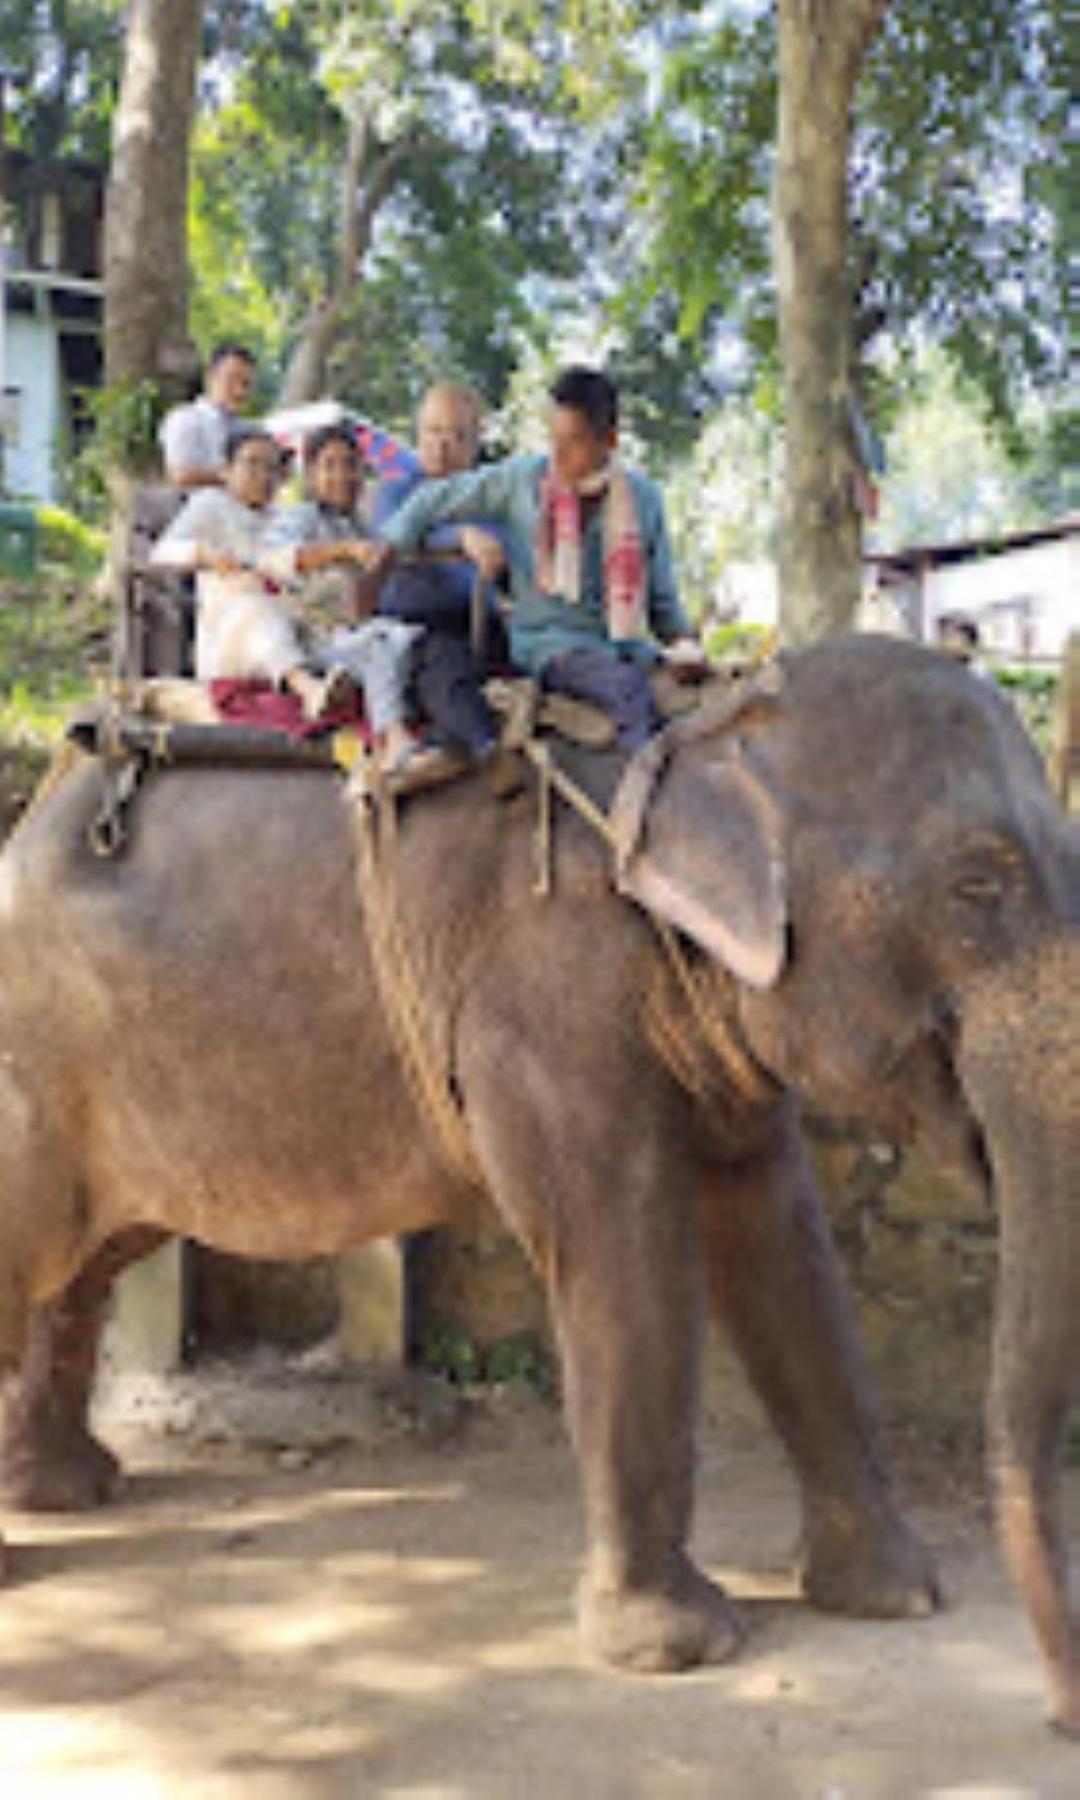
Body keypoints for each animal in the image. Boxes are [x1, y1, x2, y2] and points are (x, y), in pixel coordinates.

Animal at [0, 637, 1072, 1728]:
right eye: (978, 884)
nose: (1055, 1713)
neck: (692, 733)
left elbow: (780, 1238)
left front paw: (895, 1595)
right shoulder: (546, 987)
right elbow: (620, 1234)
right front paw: (676, 1648)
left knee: (85, 1260)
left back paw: (64, 1491)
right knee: (38, 1249)